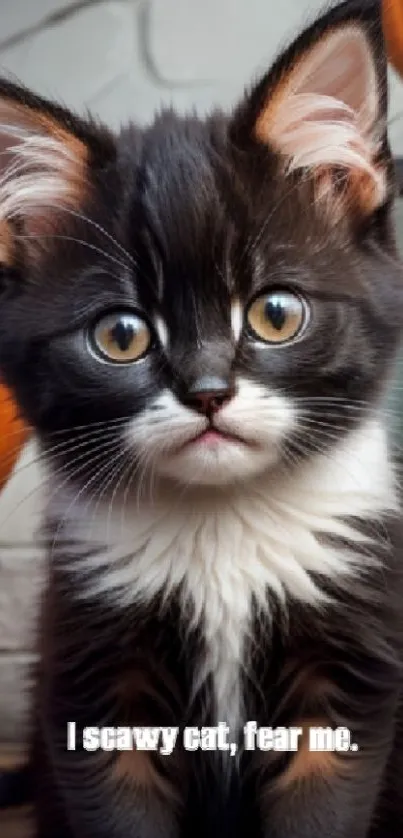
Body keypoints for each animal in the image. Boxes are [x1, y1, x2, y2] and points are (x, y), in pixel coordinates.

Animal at [0, 0, 403, 836]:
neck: (223, 527)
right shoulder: (93, 674)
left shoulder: (348, 666)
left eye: (275, 314)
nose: (208, 391)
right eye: (121, 335)